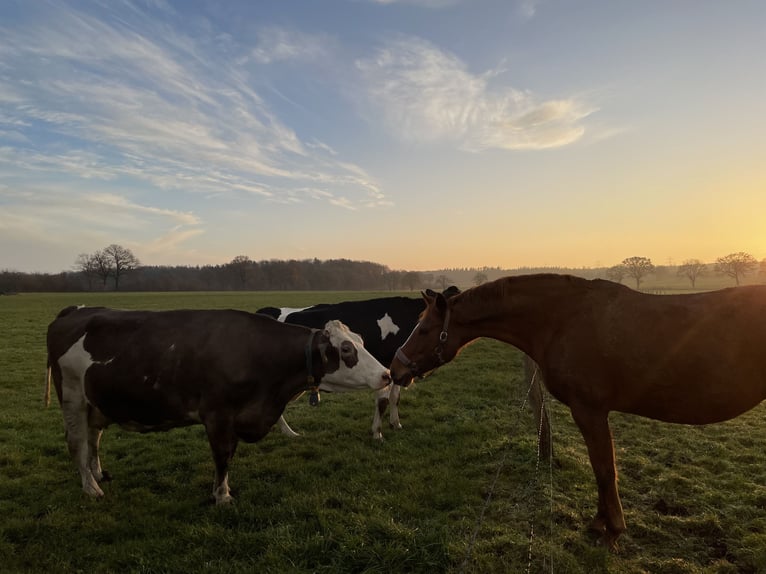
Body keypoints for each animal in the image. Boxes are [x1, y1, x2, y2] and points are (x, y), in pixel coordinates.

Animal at [45, 306, 392, 504]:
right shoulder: (218, 414)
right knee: (76, 442)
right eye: (346, 349)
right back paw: (90, 488)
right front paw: (222, 495)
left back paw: (97, 473)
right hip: (73, 397)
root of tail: (72, 313)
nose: (386, 374)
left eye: (361, 341)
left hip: (95, 402)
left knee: (94, 438)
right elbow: (223, 456)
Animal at [258, 288, 462, 440]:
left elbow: (395, 398)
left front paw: (395, 423)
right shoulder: (384, 369)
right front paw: (377, 433)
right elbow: (382, 400)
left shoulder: (397, 370)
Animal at [392, 276, 766, 552]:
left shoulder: (590, 411)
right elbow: (601, 469)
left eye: (423, 329)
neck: (562, 320)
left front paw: (611, 531)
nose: (396, 370)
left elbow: (604, 470)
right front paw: (601, 524)